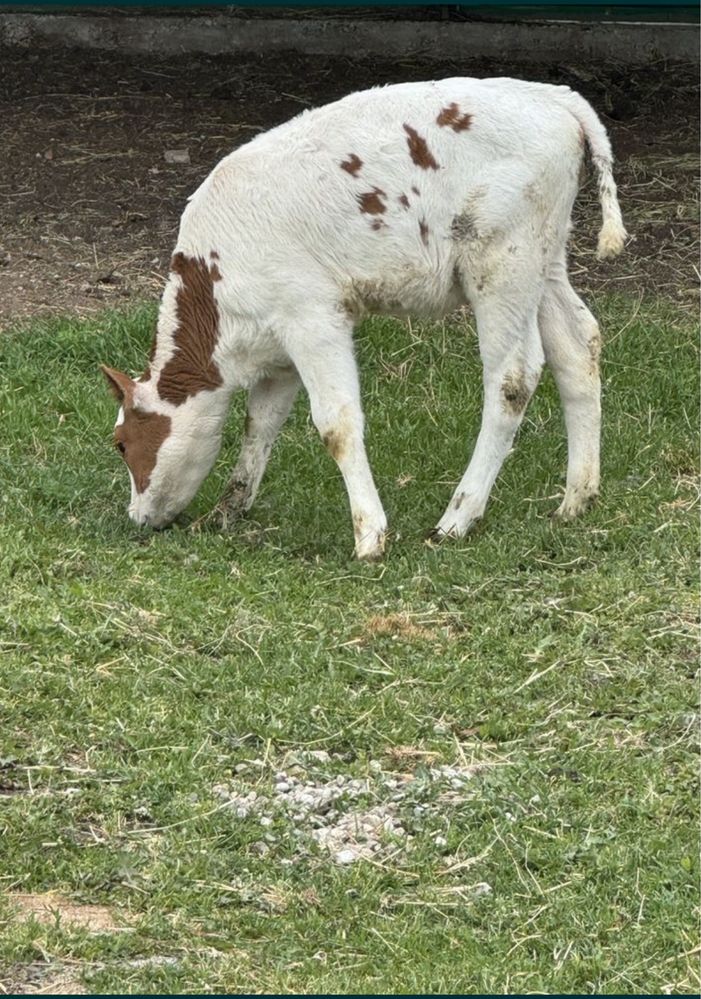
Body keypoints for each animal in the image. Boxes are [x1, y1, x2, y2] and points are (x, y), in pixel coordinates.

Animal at [101, 76, 628, 564]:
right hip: (546, 261)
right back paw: (575, 499)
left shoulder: (313, 318)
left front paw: (370, 535)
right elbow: (260, 423)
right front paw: (229, 510)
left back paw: (457, 518)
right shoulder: (279, 349)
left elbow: (336, 424)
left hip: (502, 263)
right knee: (577, 345)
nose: (138, 517)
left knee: (512, 378)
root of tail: (554, 97)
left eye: (122, 444)